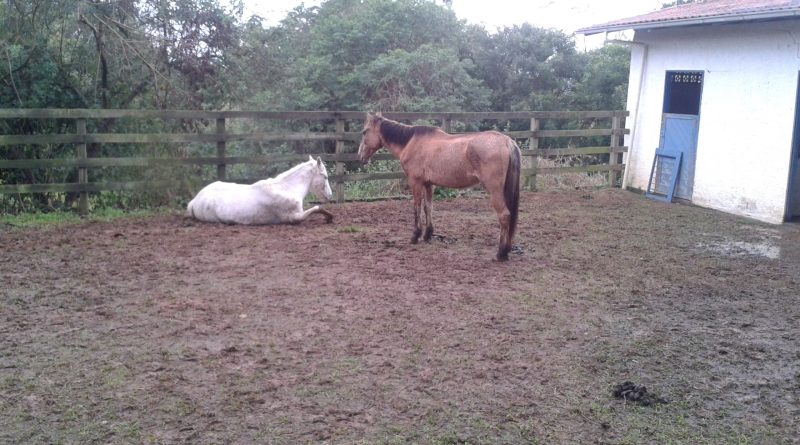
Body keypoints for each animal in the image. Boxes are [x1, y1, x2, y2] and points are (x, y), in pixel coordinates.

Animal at [188, 156, 334, 225]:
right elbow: (317, 207)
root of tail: (194, 201)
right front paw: (330, 217)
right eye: (325, 177)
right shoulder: (294, 217)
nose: (330, 195)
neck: (286, 189)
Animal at [354, 112, 520, 262]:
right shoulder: (428, 184)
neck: (411, 142)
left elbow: (417, 207)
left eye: (364, 132)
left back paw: (501, 253)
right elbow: (428, 207)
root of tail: (506, 141)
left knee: (504, 215)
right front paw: (427, 235)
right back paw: (507, 250)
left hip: (494, 190)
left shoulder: (416, 182)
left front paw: (415, 236)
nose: (360, 156)